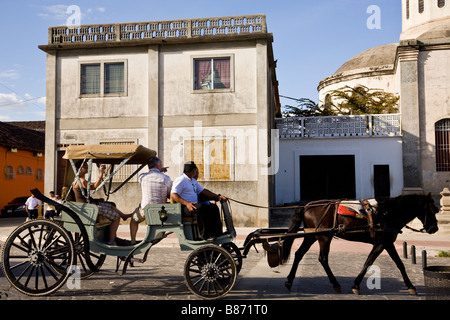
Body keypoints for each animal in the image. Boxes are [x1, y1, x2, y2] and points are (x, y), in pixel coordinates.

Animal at [280, 192, 438, 296]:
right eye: (432, 210)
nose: (434, 228)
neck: (388, 213)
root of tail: (307, 205)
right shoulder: (383, 243)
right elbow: (374, 263)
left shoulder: (385, 243)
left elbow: (391, 263)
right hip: (324, 237)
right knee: (323, 259)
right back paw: (335, 283)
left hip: (312, 236)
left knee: (299, 254)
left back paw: (289, 281)